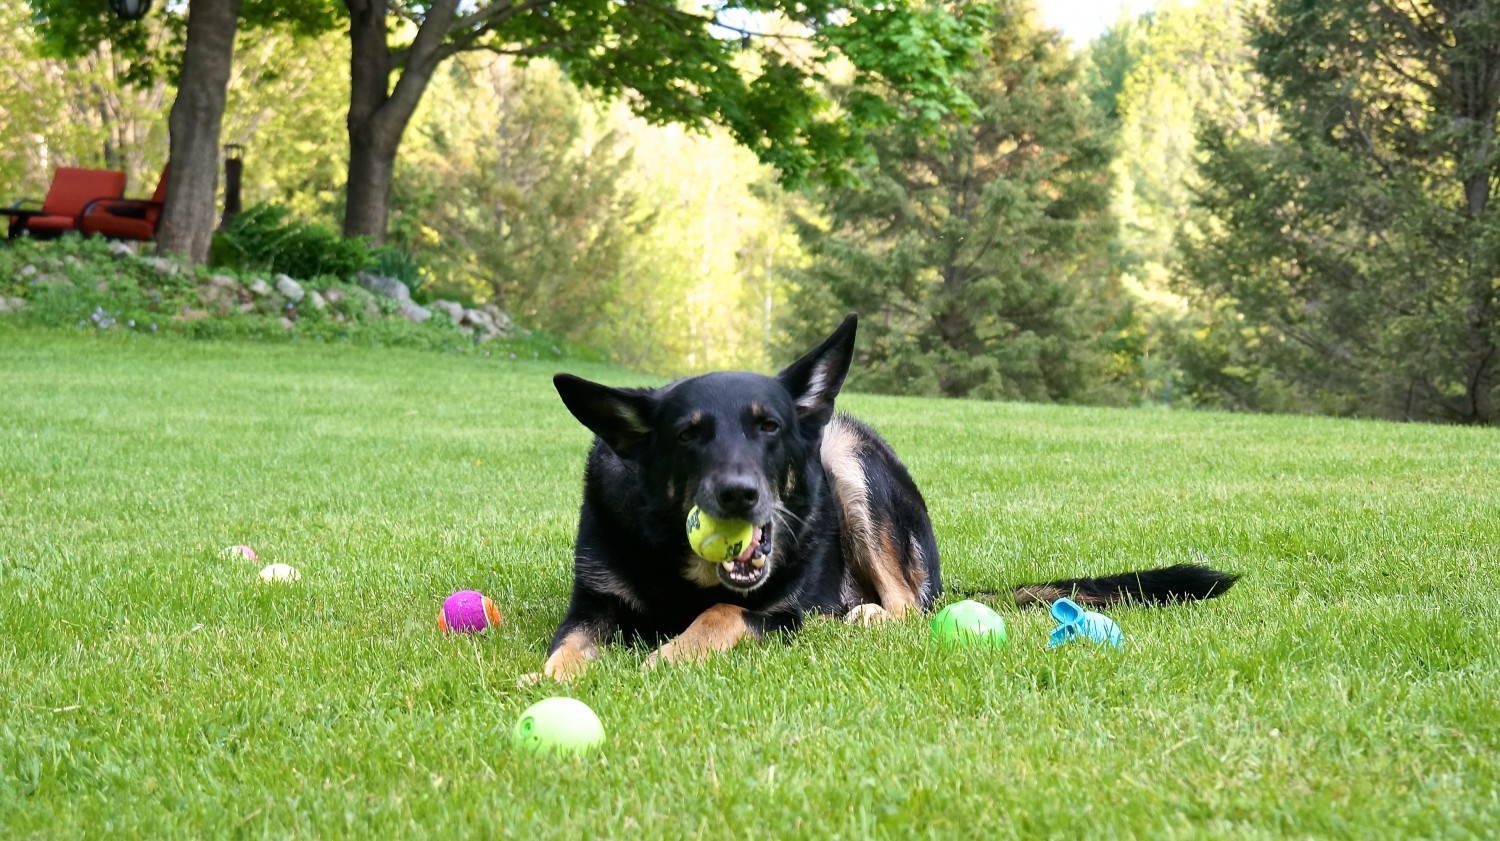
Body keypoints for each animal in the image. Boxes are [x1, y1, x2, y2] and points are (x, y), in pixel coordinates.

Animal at [546, 311, 1236, 677]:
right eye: (688, 435)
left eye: (769, 427)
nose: (740, 497)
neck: (681, 568)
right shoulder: (593, 605)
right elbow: (568, 648)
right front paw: (544, 677)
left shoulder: (781, 610)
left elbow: (720, 613)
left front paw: (662, 660)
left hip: (847, 456)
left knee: (906, 606)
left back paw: (867, 616)